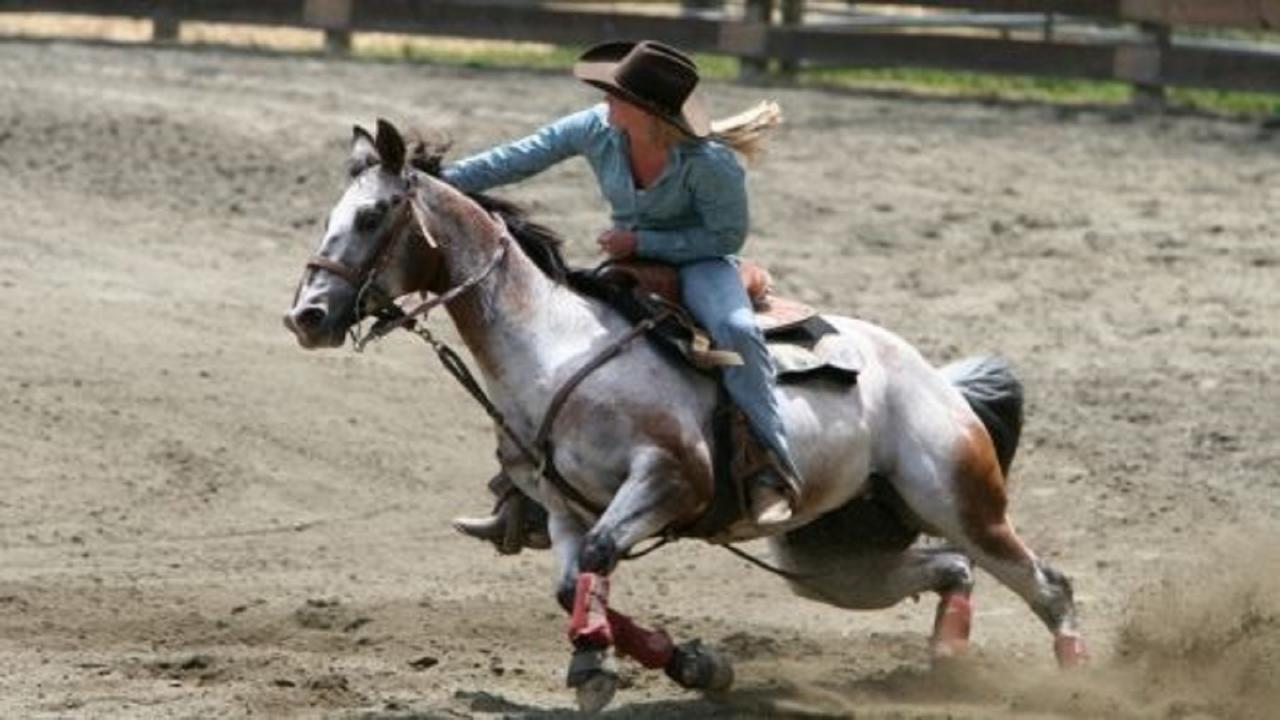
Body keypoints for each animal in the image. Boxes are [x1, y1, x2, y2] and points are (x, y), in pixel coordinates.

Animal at [285, 120, 1085, 707]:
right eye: (330, 215)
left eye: (372, 215)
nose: (307, 317)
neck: (557, 351)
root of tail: (934, 378)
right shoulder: (565, 508)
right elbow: (571, 580)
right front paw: (687, 663)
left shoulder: (671, 481)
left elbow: (600, 557)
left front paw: (599, 666)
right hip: (831, 559)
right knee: (953, 568)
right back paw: (946, 657)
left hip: (958, 497)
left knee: (1046, 584)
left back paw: (1074, 678)